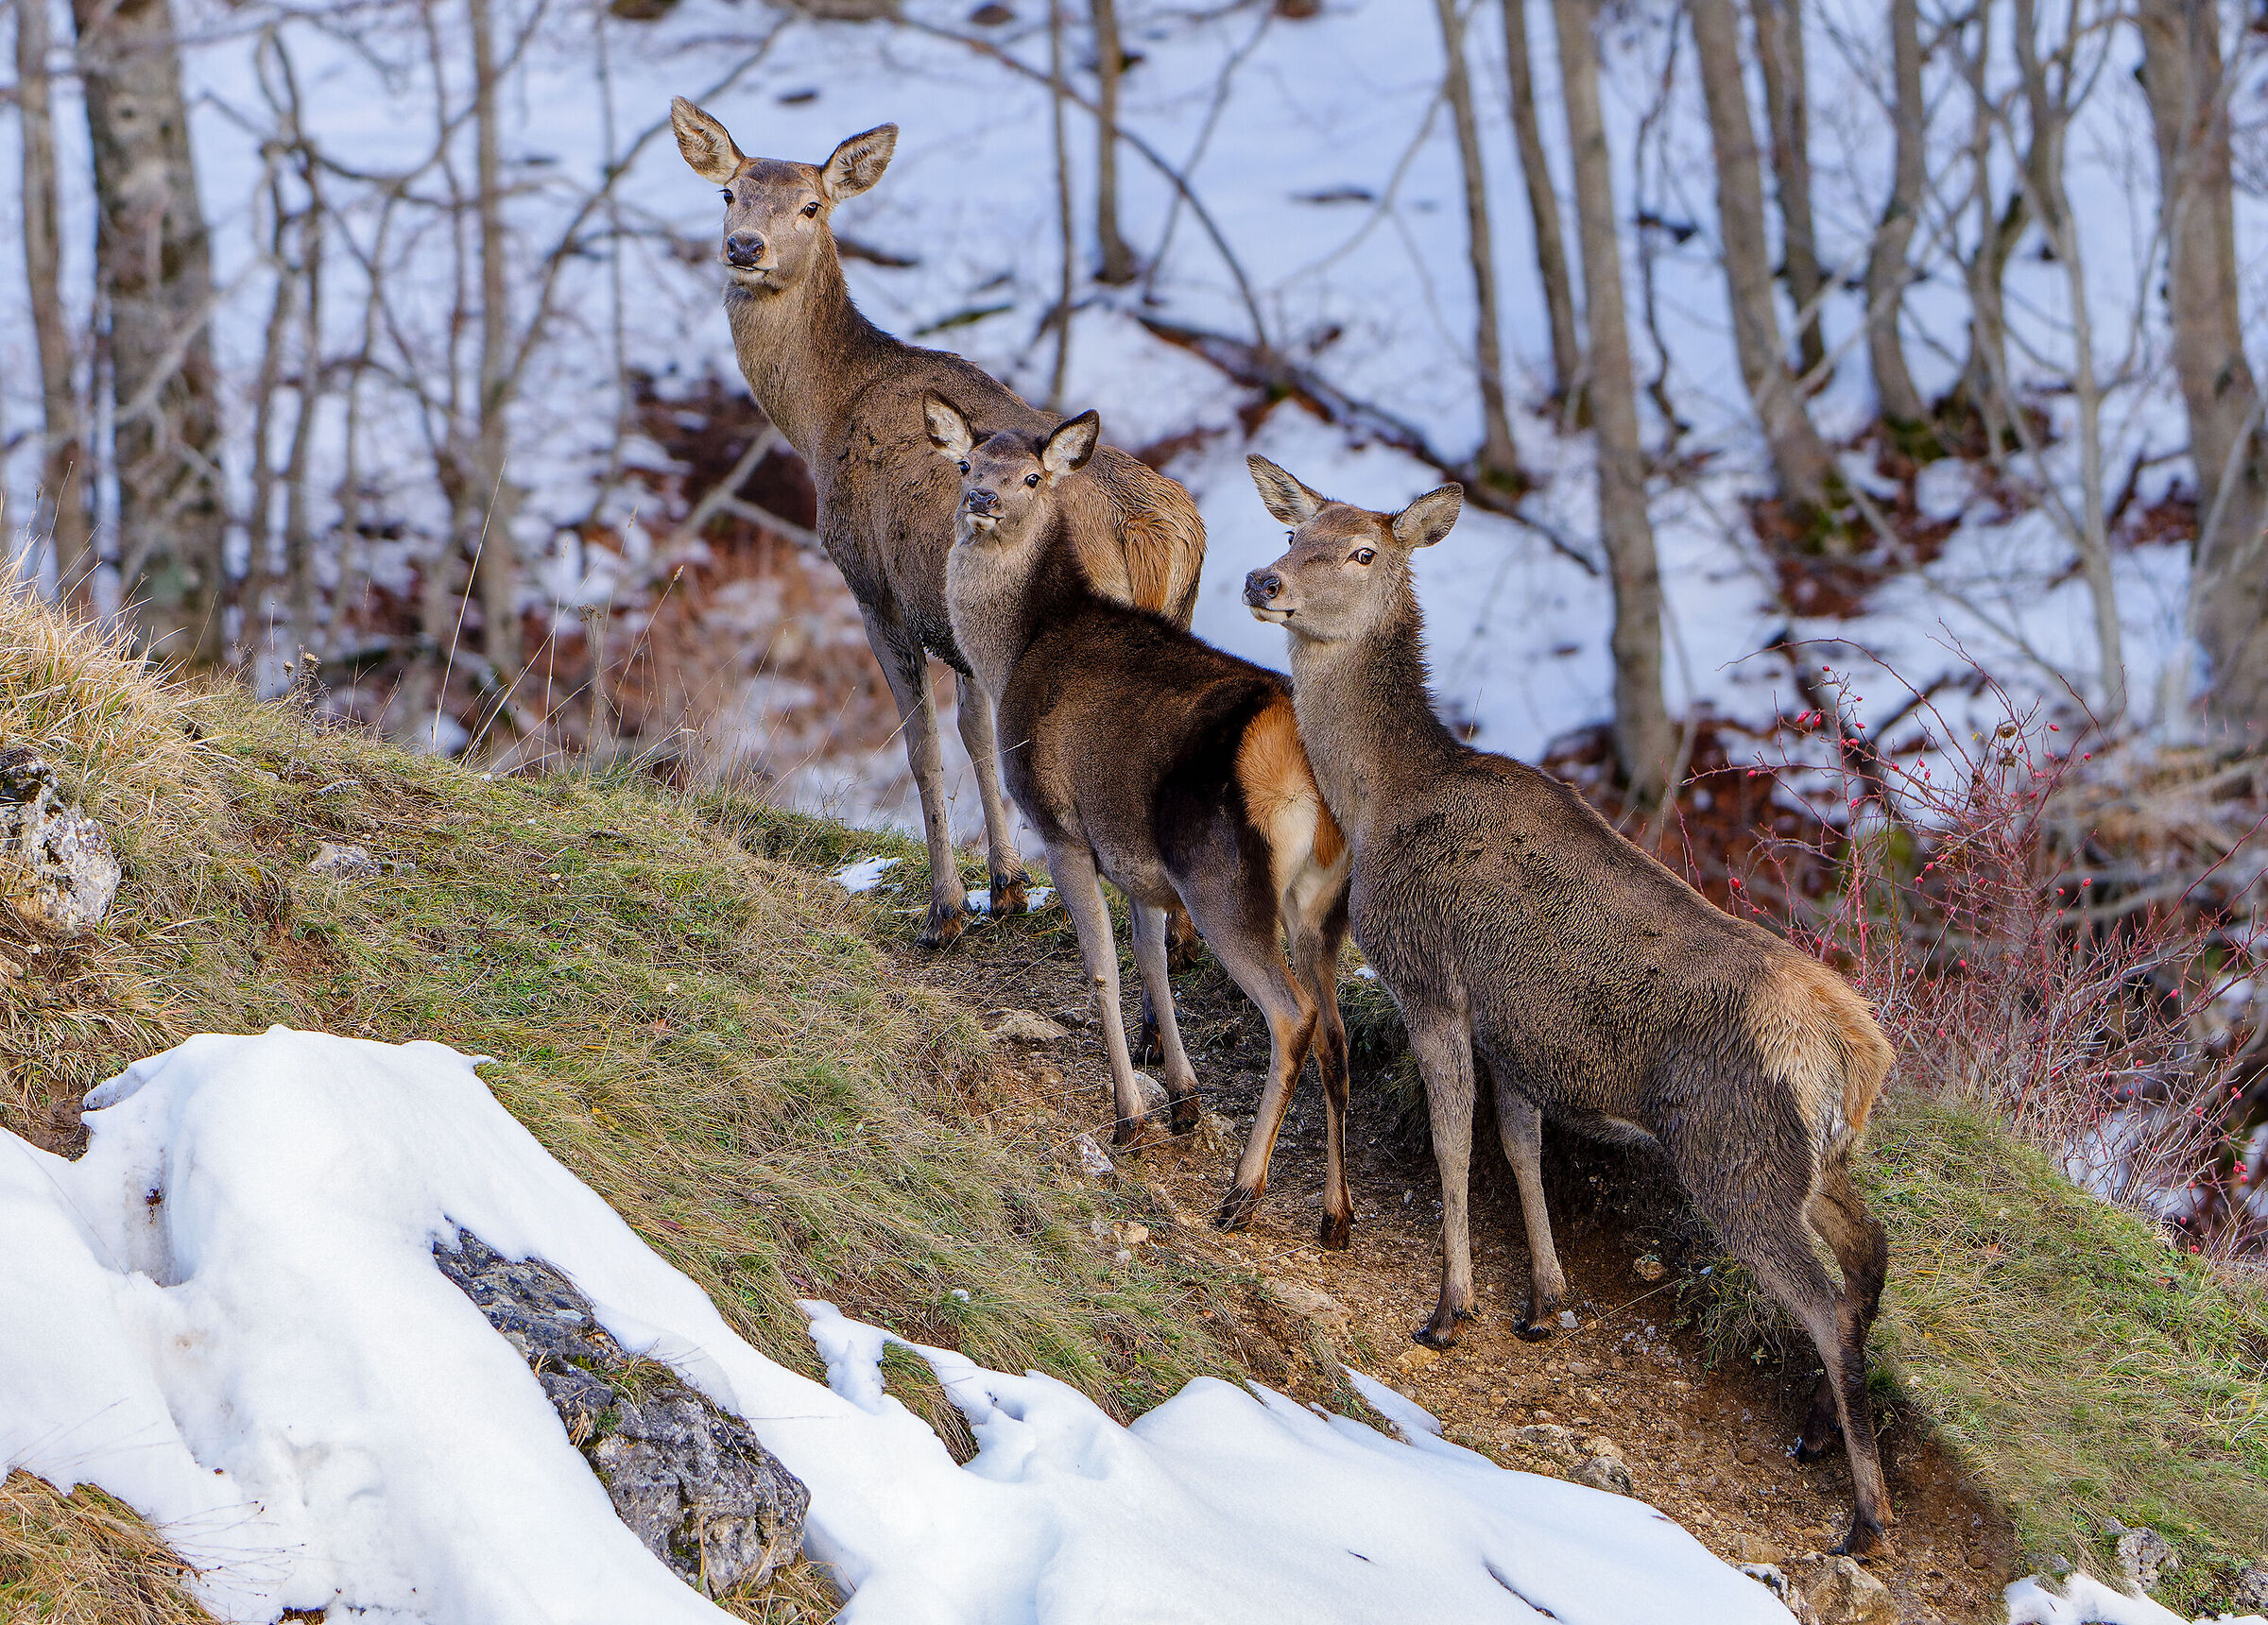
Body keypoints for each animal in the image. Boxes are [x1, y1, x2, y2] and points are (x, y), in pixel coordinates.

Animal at [669, 98, 1205, 948]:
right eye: (729, 192)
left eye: (811, 206)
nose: (744, 247)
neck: (822, 415)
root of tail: (1151, 532)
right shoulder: (957, 618)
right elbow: (976, 736)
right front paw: (1008, 886)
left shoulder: (874, 586)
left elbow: (921, 745)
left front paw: (947, 907)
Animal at [925, 394, 1357, 1246]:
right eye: (965, 463)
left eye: (1031, 476)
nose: (981, 500)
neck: (1016, 649)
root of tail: (1297, 760)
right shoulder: (1136, 859)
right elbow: (1152, 963)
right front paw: (1183, 1098)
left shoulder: (1062, 826)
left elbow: (1101, 968)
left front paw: (1130, 1115)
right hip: (1318, 899)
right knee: (1333, 1027)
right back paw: (1336, 1214)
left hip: (1223, 880)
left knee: (1291, 1016)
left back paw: (1243, 1192)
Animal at [1241, 456, 1896, 1555]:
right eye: (1295, 532)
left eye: (1364, 550)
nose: (1262, 580)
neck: (1383, 799)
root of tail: (1859, 1056)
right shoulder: (1518, 1034)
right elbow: (1518, 1146)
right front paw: (1544, 1299)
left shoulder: (1431, 979)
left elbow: (1454, 1144)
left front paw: (1451, 1304)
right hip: (1812, 1160)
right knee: (1870, 1254)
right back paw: (1817, 1433)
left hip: (1733, 1153)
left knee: (1824, 1296)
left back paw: (1866, 1514)